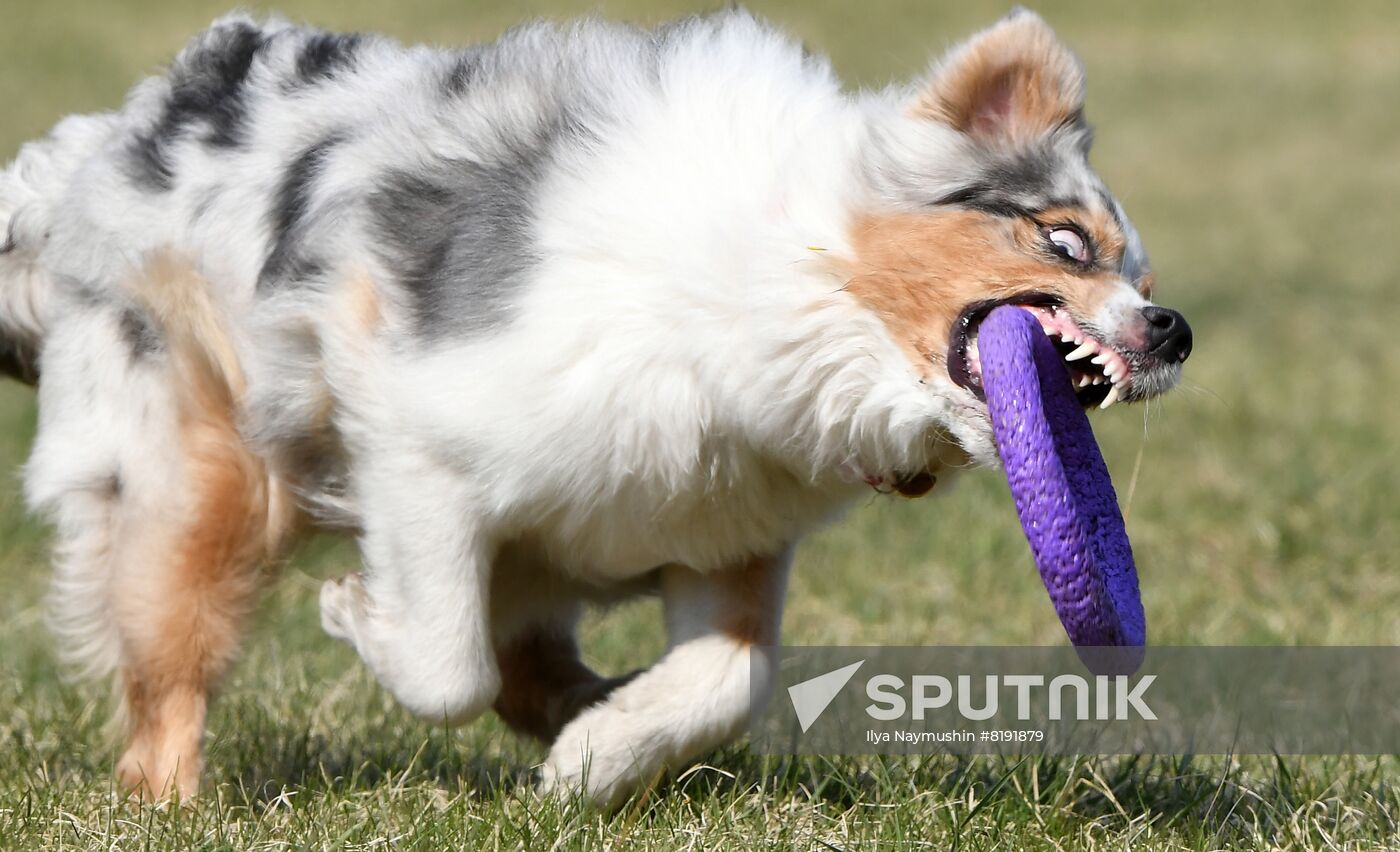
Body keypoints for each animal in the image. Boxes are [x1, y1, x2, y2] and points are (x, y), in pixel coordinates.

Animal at [0, 8, 1192, 805]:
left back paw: (589, 714)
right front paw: (353, 612)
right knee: (173, 658)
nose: (1174, 327)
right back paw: (171, 802)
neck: (769, 287)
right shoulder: (422, 447)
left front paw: (598, 757)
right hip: (199, 472)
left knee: (530, 668)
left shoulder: (725, 524)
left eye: (1141, 272)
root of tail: (101, 146)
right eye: (1063, 241)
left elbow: (730, 676)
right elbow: (444, 665)